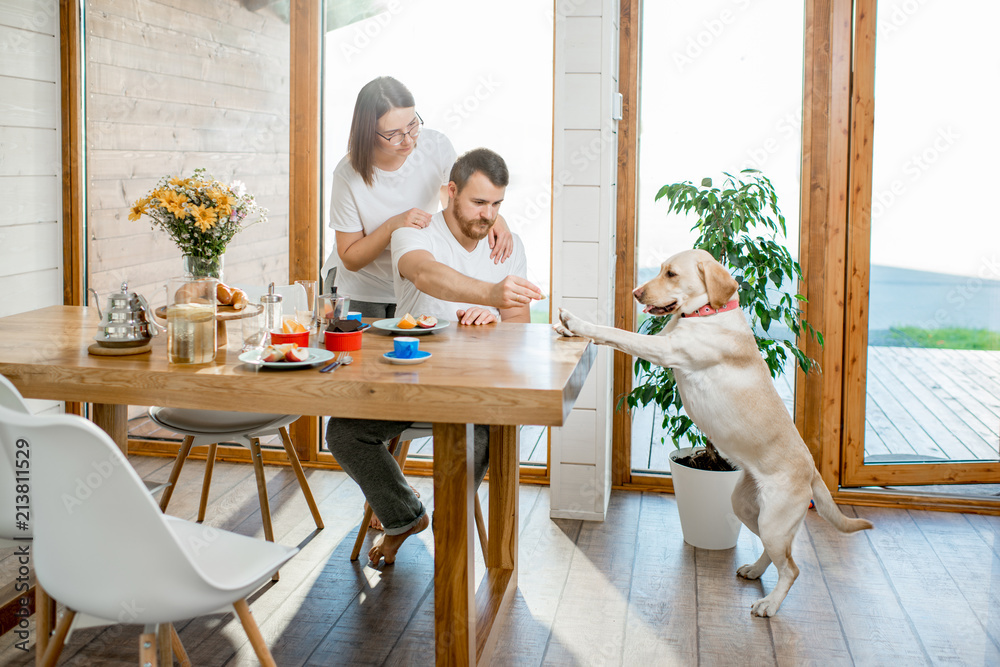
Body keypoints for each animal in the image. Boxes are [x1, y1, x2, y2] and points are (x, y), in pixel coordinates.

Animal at [552, 248, 872, 620]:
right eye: (661, 270)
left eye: (671, 274)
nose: (635, 293)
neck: (707, 313)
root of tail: (812, 471)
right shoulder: (661, 341)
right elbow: (619, 333)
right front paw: (565, 328)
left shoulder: (663, 350)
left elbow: (616, 332)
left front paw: (576, 322)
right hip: (747, 508)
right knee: (776, 553)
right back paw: (755, 570)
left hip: (774, 521)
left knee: (792, 568)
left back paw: (769, 604)